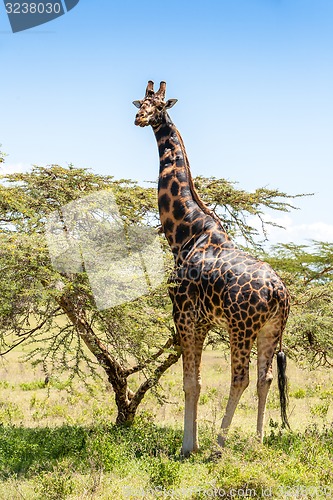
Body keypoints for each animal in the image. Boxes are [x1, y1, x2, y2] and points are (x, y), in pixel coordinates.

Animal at [134, 79, 290, 458]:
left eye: (158, 106)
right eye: (140, 102)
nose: (139, 118)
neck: (185, 232)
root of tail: (280, 293)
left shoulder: (184, 314)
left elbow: (190, 382)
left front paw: (187, 447)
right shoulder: (202, 320)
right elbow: (198, 381)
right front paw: (190, 443)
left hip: (241, 327)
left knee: (241, 378)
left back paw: (219, 446)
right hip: (270, 330)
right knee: (264, 378)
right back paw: (257, 440)